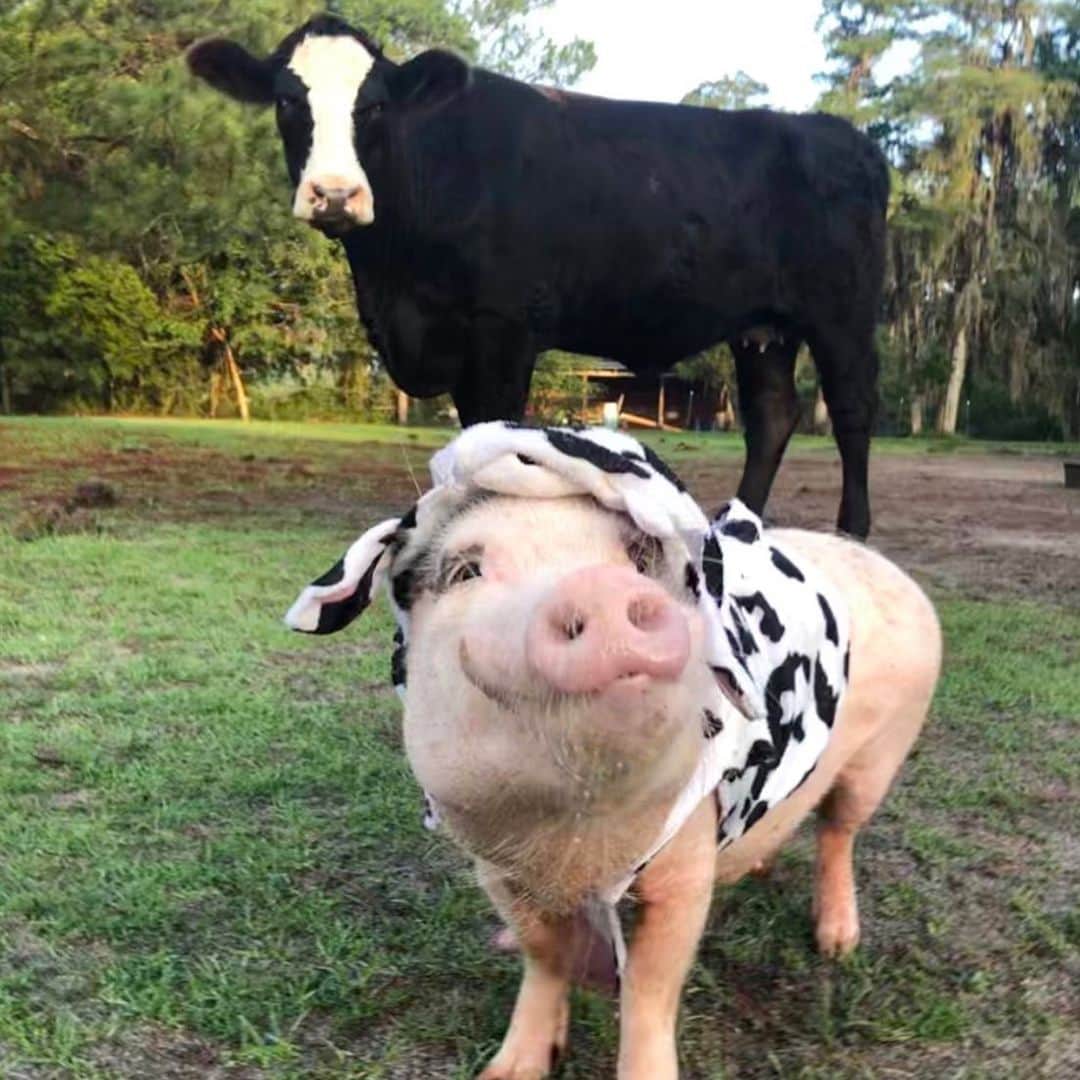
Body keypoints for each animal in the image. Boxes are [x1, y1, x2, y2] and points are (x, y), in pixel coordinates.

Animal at [187, 14, 889, 537]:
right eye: (287, 100)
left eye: (376, 105)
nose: (334, 194)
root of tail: (835, 133)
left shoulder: (503, 326)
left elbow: (495, 429)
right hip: (762, 328)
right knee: (771, 415)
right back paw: (739, 527)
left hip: (844, 315)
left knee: (852, 411)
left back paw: (852, 530)